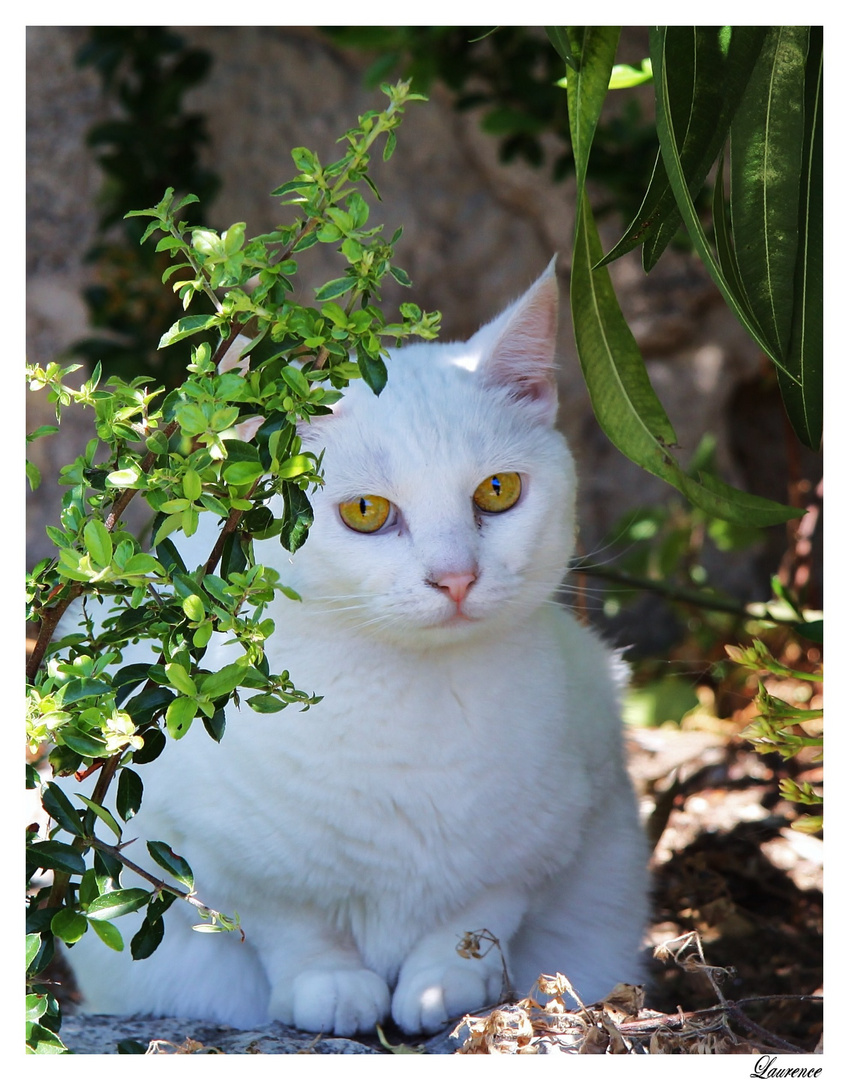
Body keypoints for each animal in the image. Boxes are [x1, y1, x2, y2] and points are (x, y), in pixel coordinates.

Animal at [62, 261, 643, 1036]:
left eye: (497, 491)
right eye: (366, 512)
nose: (456, 577)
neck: (408, 697)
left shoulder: (551, 837)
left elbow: (478, 913)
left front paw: (443, 983)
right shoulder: (212, 851)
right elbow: (287, 925)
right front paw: (328, 984)